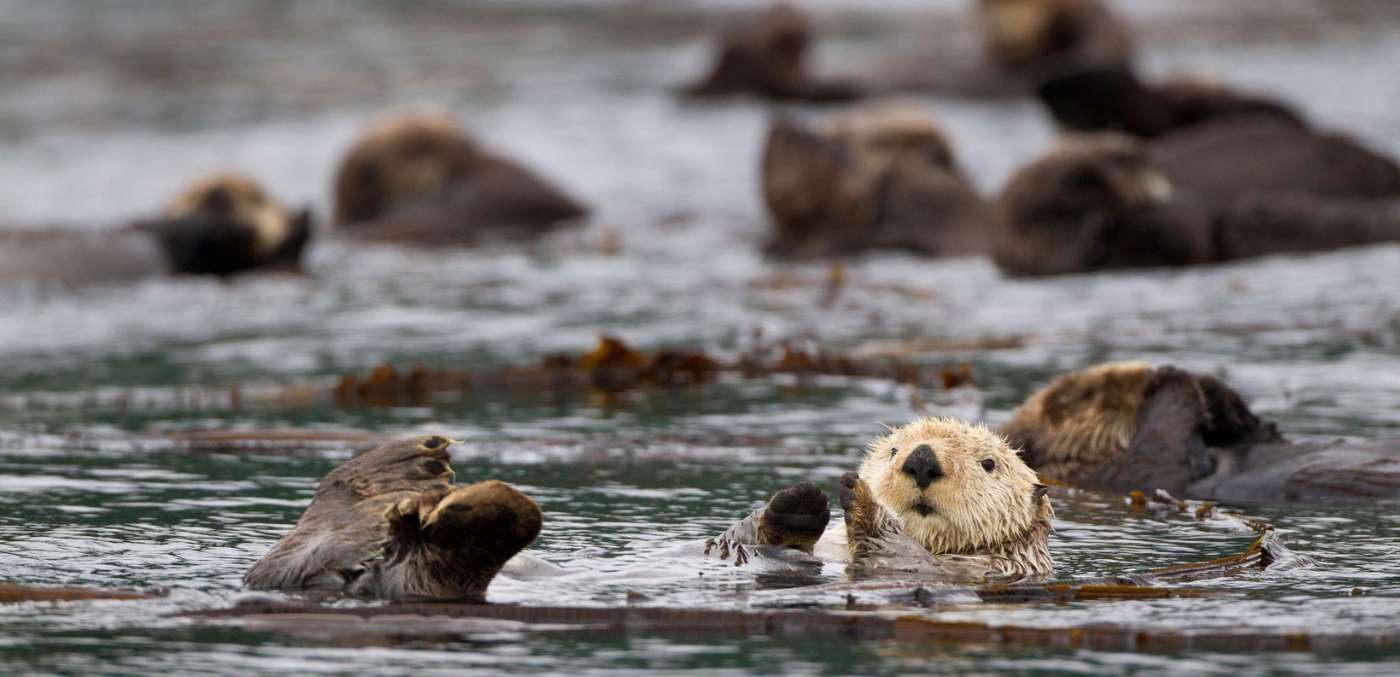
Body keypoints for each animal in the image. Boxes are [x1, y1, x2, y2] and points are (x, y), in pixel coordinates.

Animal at [708, 417, 1053, 582]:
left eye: (989, 464)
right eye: (894, 450)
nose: (922, 460)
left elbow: (902, 558)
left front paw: (865, 502)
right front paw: (799, 505)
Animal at [1001, 363, 1400, 504]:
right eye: (1082, 396)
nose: (1140, 372)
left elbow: (1261, 432)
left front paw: (1210, 388)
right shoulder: (1126, 473)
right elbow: (1161, 449)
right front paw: (1169, 376)